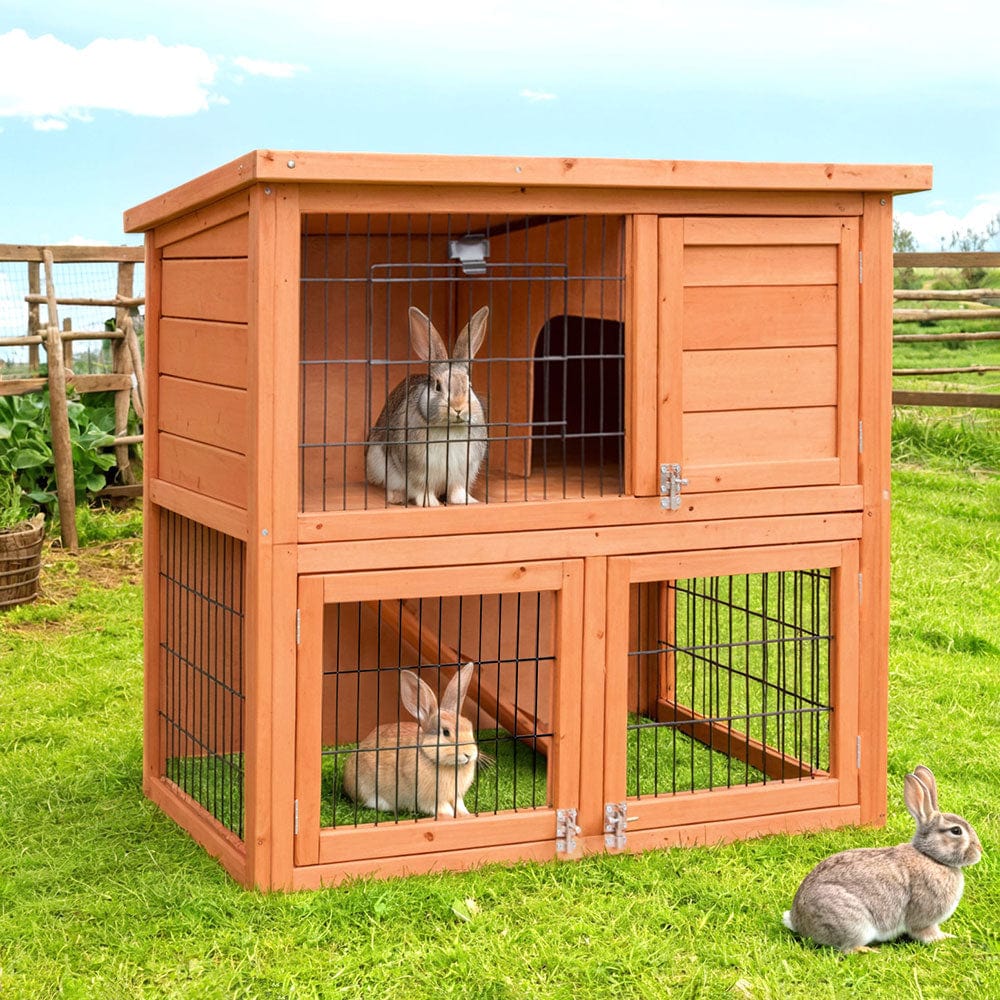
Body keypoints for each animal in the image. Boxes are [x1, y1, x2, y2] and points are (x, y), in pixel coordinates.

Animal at [341, 662, 480, 818]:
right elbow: (444, 810)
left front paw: (467, 815)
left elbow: (460, 807)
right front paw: (451, 817)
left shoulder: (456, 797)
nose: (470, 754)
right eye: (446, 732)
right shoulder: (432, 800)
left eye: (469, 726)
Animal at [365, 305, 489, 507]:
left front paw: (466, 501)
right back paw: (396, 497)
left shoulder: (463, 471)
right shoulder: (418, 471)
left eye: (469, 384)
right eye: (438, 386)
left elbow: (457, 490)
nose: (458, 407)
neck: (449, 429)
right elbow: (422, 489)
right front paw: (429, 503)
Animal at [782, 765, 982, 953]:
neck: (931, 857)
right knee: (847, 948)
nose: (979, 852)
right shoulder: (924, 919)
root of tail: (798, 921)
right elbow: (925, 933)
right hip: (853, 922)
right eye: (956, 831)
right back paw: (870, 950)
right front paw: (946, 938)